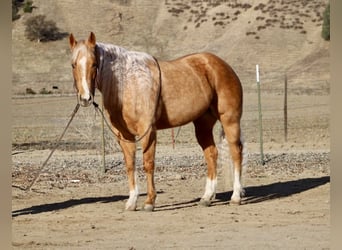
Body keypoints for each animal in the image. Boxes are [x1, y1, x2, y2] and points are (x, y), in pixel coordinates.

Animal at [69, 31, 246, 211]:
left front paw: (149, 202)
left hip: (230, 121)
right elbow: (130, 165)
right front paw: (132, 202)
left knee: (236, 152)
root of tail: (222, 65)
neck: (129, 83)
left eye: (94, 64)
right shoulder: (124, 136)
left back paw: (236, 197)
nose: (85, 98)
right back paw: (207, 197)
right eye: (73, 65)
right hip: (203, 126)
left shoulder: (147, 131)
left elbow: (148, 164)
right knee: (211, 154)